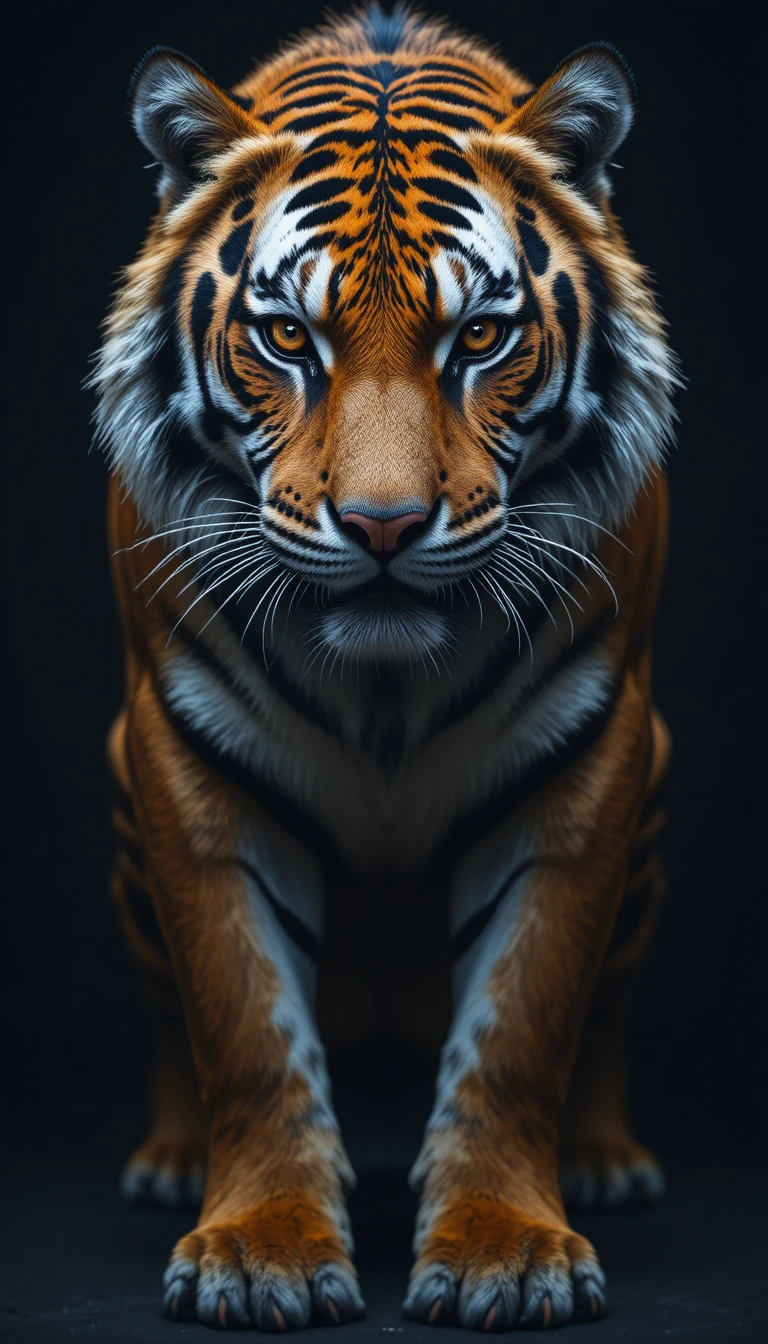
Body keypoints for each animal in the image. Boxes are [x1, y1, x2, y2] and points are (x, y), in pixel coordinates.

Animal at [92, 1, 678, 1332]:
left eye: (481, 338)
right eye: (286, 338)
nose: (383, 526)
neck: (384, 693)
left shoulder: (590, 760)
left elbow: (524, 1027)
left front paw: (507, 1248)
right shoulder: (185, 760)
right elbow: (243, 1028)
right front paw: (258, 1248)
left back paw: (606, 1160)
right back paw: (169, 1160)